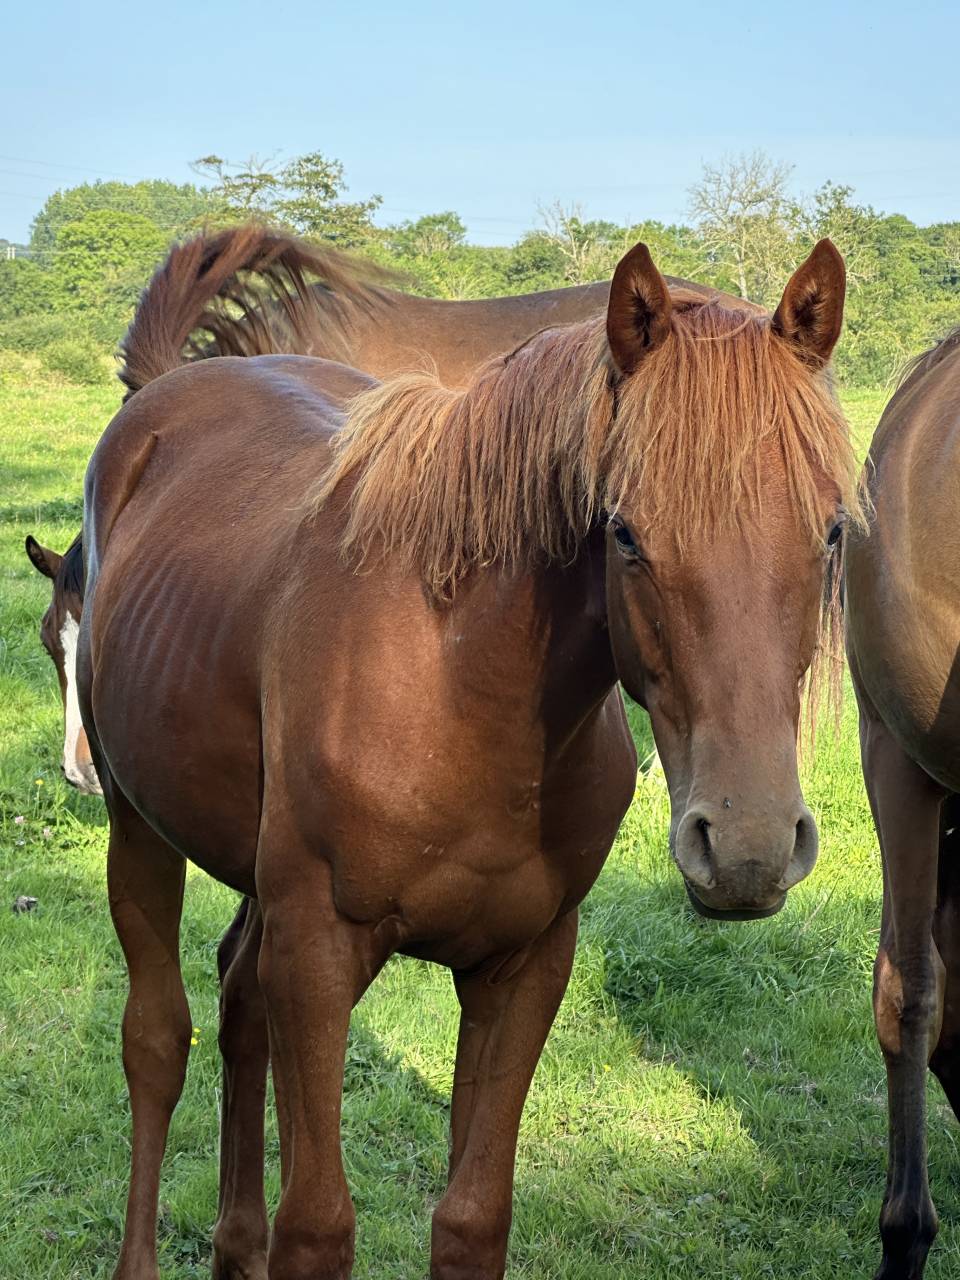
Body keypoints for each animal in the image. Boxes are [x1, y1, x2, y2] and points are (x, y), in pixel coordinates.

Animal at [78, 231, 857, 1280]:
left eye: (831, 529)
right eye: (624, 533)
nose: (747, 848)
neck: (457, 689)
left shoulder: (522, 967)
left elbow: (471, 1218)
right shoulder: (318, 953)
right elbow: (316, 1226)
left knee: (240, 1006)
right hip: (138, 831)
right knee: (158, 1043)